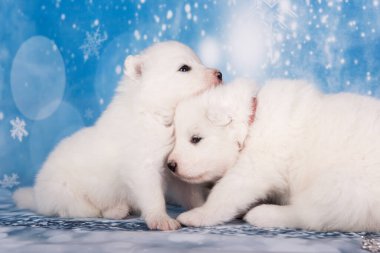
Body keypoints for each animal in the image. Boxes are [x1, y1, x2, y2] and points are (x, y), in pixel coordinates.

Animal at [14, 40, 223, 230]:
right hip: (65, 193)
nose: (220, 74)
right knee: (81, 210)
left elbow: (191, 193)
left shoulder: (177, 169)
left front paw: (202, 208)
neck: (156, 113)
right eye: (184, 68)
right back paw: (115, 210)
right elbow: (153, 196)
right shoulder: (143, 167)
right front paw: (161, 219)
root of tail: (37, 197)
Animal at [168, 79, 380, 231]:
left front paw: (199, 214)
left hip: (340, 185)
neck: (251, 126)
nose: (170, 165)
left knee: (310, 215)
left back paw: (263, 214)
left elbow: (225, 192)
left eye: (196, 139)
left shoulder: (253, 168)